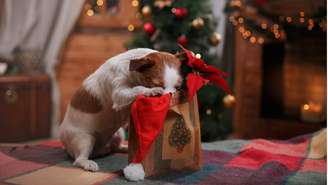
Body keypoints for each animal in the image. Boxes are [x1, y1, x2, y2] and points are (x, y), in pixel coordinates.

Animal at [59, 47, 182, 175]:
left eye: (177, 87)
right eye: (157, 84)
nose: (171, 98)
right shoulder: (119, 94)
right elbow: (137, 89)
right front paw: (151, 91)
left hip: (118, 134)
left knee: (115, 147)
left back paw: (125, 148)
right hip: (84, 139)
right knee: (79, 159)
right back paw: (88, 163)